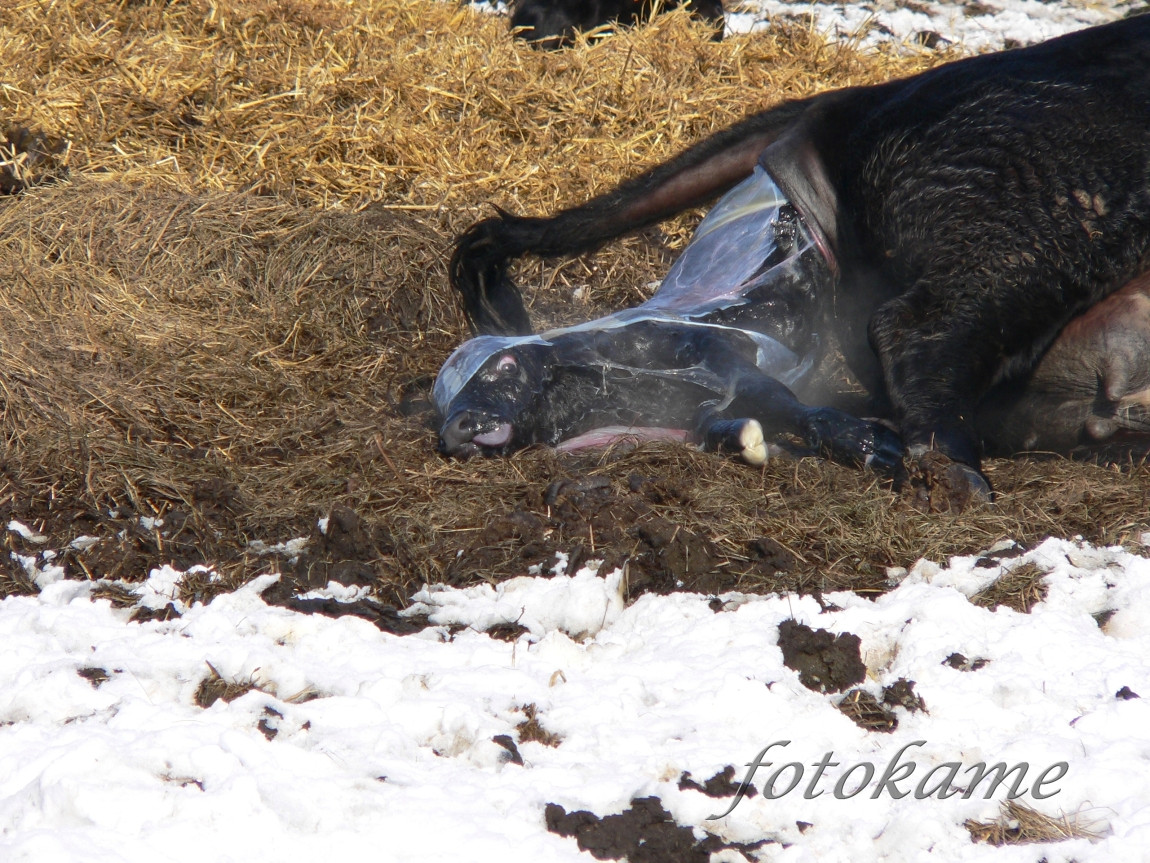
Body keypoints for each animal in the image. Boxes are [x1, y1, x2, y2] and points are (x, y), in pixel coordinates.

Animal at [437, 16, 1150, 503]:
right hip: (1050, 204)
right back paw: (958, 477)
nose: (458, 430)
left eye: (504, 371)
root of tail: (844, 102)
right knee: (921, 324)